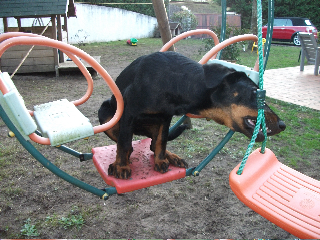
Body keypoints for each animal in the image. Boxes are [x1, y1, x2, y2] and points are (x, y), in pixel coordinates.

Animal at [98, 51, 284, 178]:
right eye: (255, 93)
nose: (282, 125)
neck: (175, 83)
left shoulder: (165, 118)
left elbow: (161, 142)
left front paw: (160, 160)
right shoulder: (128, 112)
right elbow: (123, 143)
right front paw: (122, 167)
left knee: (152, 143)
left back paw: (171, 157)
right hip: (105, 112)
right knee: (127, 144)